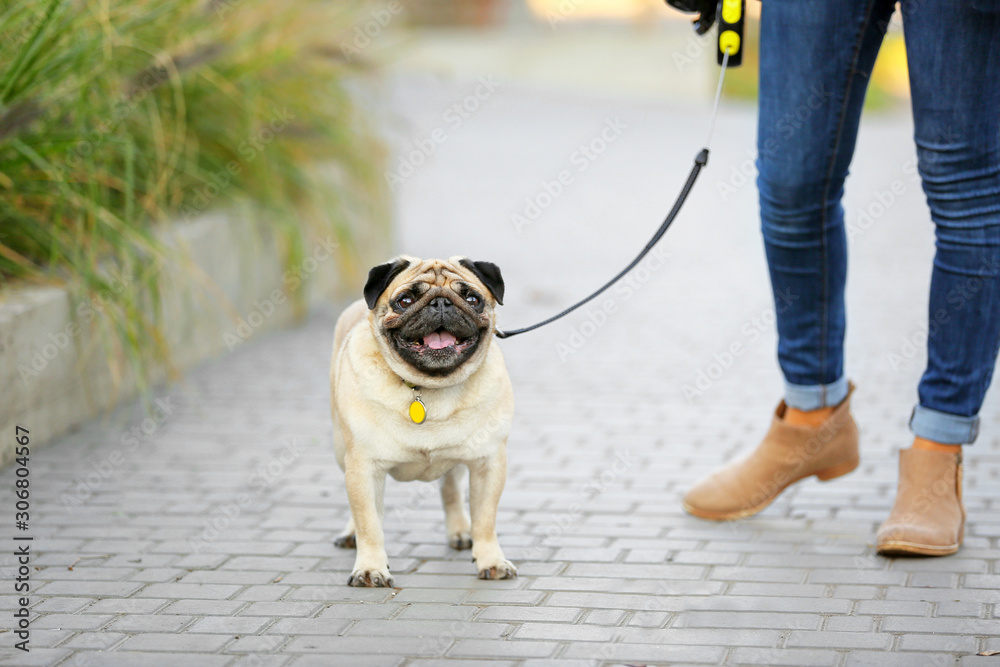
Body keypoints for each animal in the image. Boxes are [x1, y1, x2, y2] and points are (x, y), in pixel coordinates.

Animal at [330, 253, 516, 588]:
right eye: (405, 300)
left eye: (472, 298)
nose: (441, 303)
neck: (428, 387)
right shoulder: (363, 466)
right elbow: (369, 522)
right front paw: (370, 568)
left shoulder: (488, 462)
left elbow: (485, 519)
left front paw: (491, 560)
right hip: (342, 451)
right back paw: (350, 535)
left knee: (451, 489)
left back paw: (460, 531)